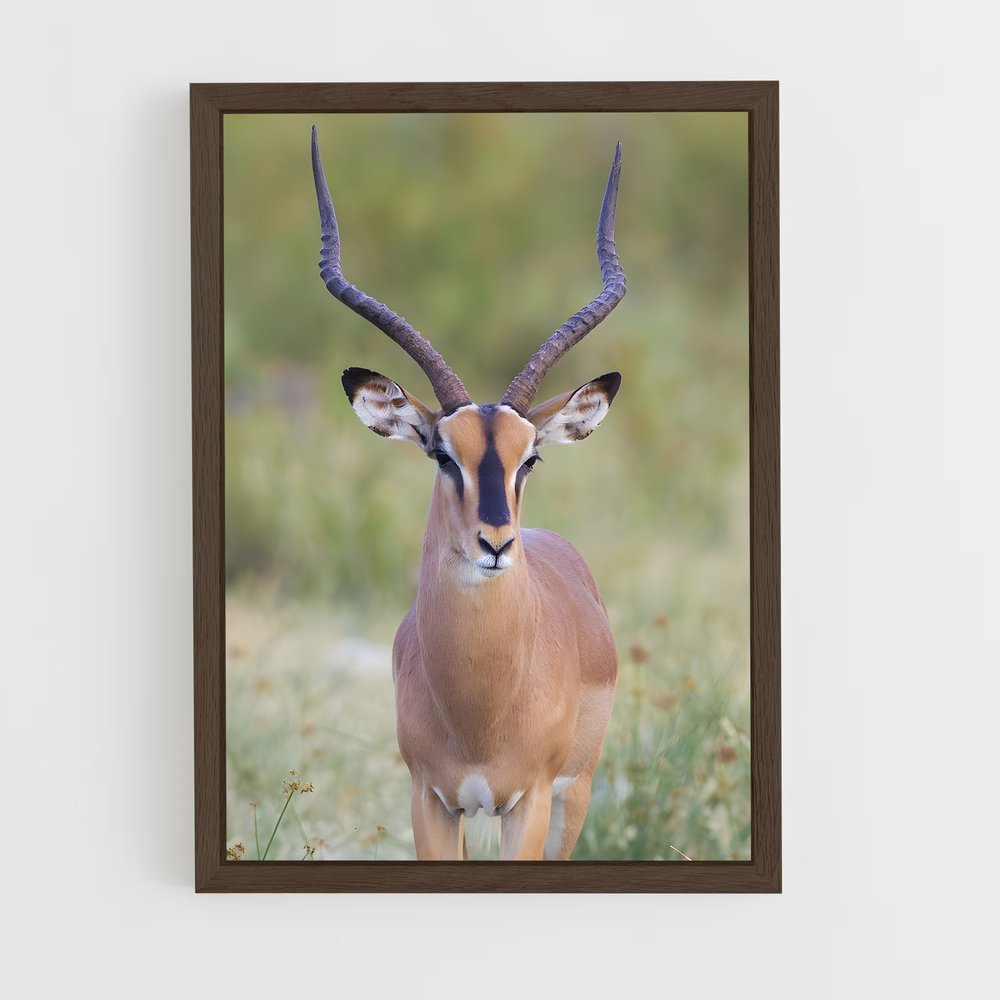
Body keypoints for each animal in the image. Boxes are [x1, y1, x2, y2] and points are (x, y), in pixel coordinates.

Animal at [311, 127, 626, 860]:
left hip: (575, 796)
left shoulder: (529, 803)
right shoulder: (431, 801)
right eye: (441, 453)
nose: (495, 541)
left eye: (529, 457)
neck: (480, 708)